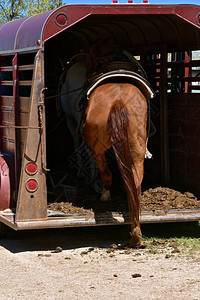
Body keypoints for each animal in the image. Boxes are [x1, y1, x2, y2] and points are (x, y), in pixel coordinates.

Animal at [83, 81, 150, 246]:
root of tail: (118, 101)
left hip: (97, 150)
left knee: (106, 173)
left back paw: (105, 195)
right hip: (137, 151)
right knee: (135, 184)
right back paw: (136, 234)